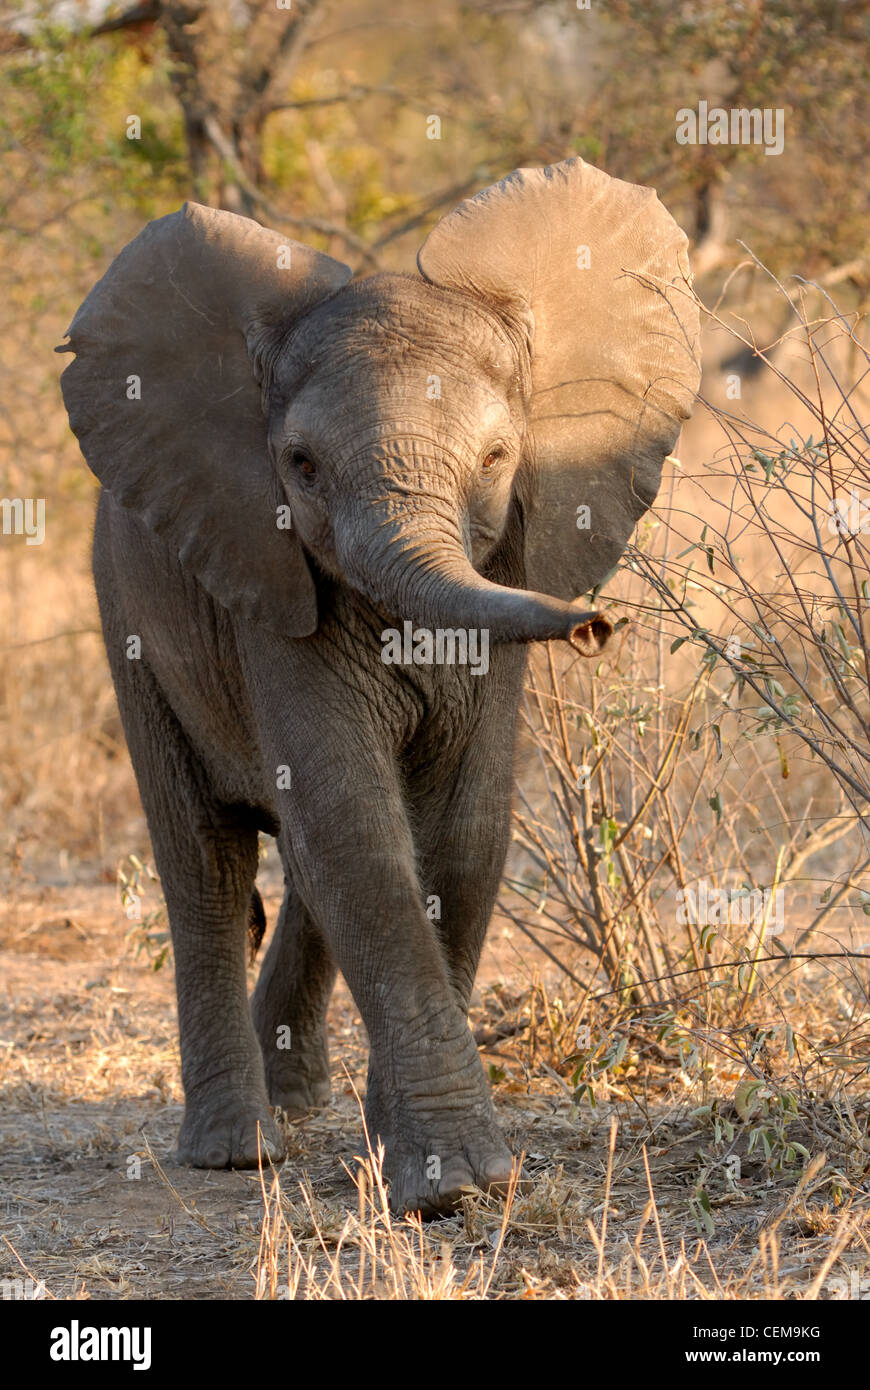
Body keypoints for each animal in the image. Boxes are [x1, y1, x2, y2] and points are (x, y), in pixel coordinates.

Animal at [58, 157, 700, 1216]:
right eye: (301, 467)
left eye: (498, 458)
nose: (595, 628)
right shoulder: (263, 572)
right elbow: (354, 828)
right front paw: (451, 1188)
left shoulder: (504, 570)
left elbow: (462, 833)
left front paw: (417, 1164)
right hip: (126, 613)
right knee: (205, 862)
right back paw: (239, 1151)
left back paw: (302, 1107)